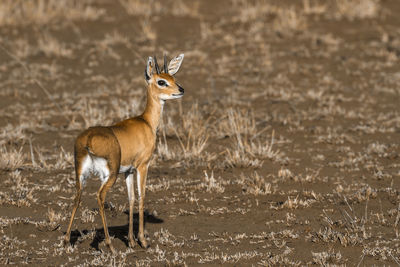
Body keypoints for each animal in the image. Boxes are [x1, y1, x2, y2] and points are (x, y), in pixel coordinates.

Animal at [64, 54, 186, 253]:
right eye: (161, 81)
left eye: (172, 77)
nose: (181, 90)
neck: (146, 122)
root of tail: (88, 139)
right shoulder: (143, 166)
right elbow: (142, 196)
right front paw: (142, 240)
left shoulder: (128, 171)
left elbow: (131, 198)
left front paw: (131, 240)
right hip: (109, 175)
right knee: (100, 197)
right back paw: (110, 245)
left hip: (81, 174)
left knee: (77, 197)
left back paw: (67, 240)